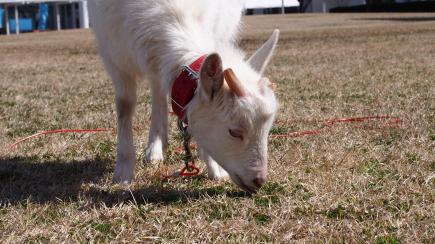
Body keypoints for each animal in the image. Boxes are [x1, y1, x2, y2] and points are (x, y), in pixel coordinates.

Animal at [88, 0, 280, 193]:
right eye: (234, 132)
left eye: (267, 129)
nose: (259, 180)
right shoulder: (114, 55)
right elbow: (125, 106)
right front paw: (123, 172)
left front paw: (215, 169)